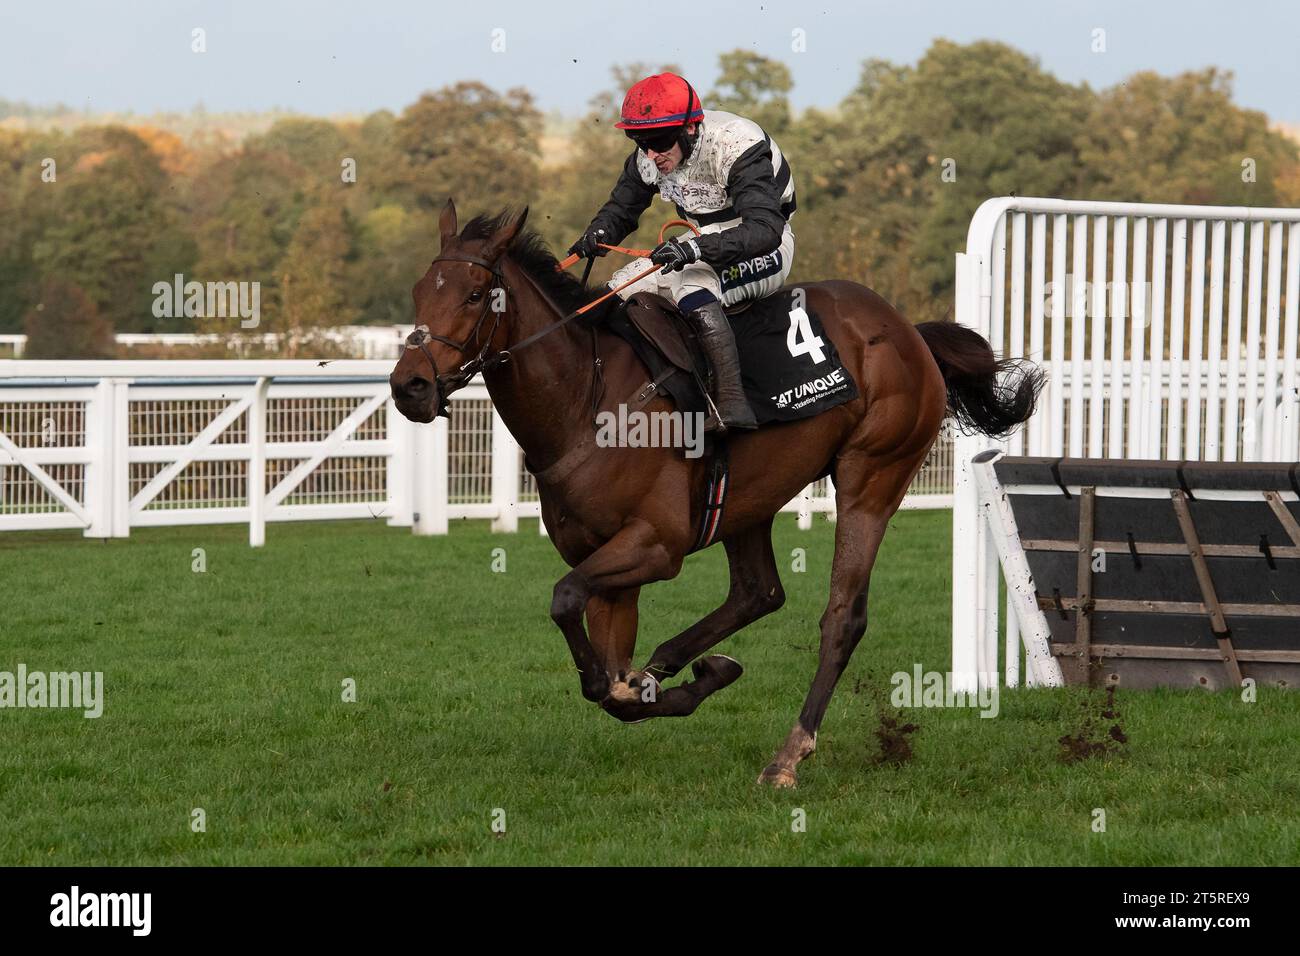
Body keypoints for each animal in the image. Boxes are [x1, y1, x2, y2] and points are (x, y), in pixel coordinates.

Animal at [390, 197, 1040, 790]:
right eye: (420, 291)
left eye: (476, 295)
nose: (409, 387)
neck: (586, 399)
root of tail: (908, 330)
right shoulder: (607, 560)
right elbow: (612, 677)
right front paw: (666, 680)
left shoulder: (656, 545)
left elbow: (567, 603)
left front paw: (647, 682)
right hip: (749, 499)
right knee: (758, 592)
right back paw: (682, 663)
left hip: (872, 476)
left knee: (842, 617)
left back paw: (788, 754)